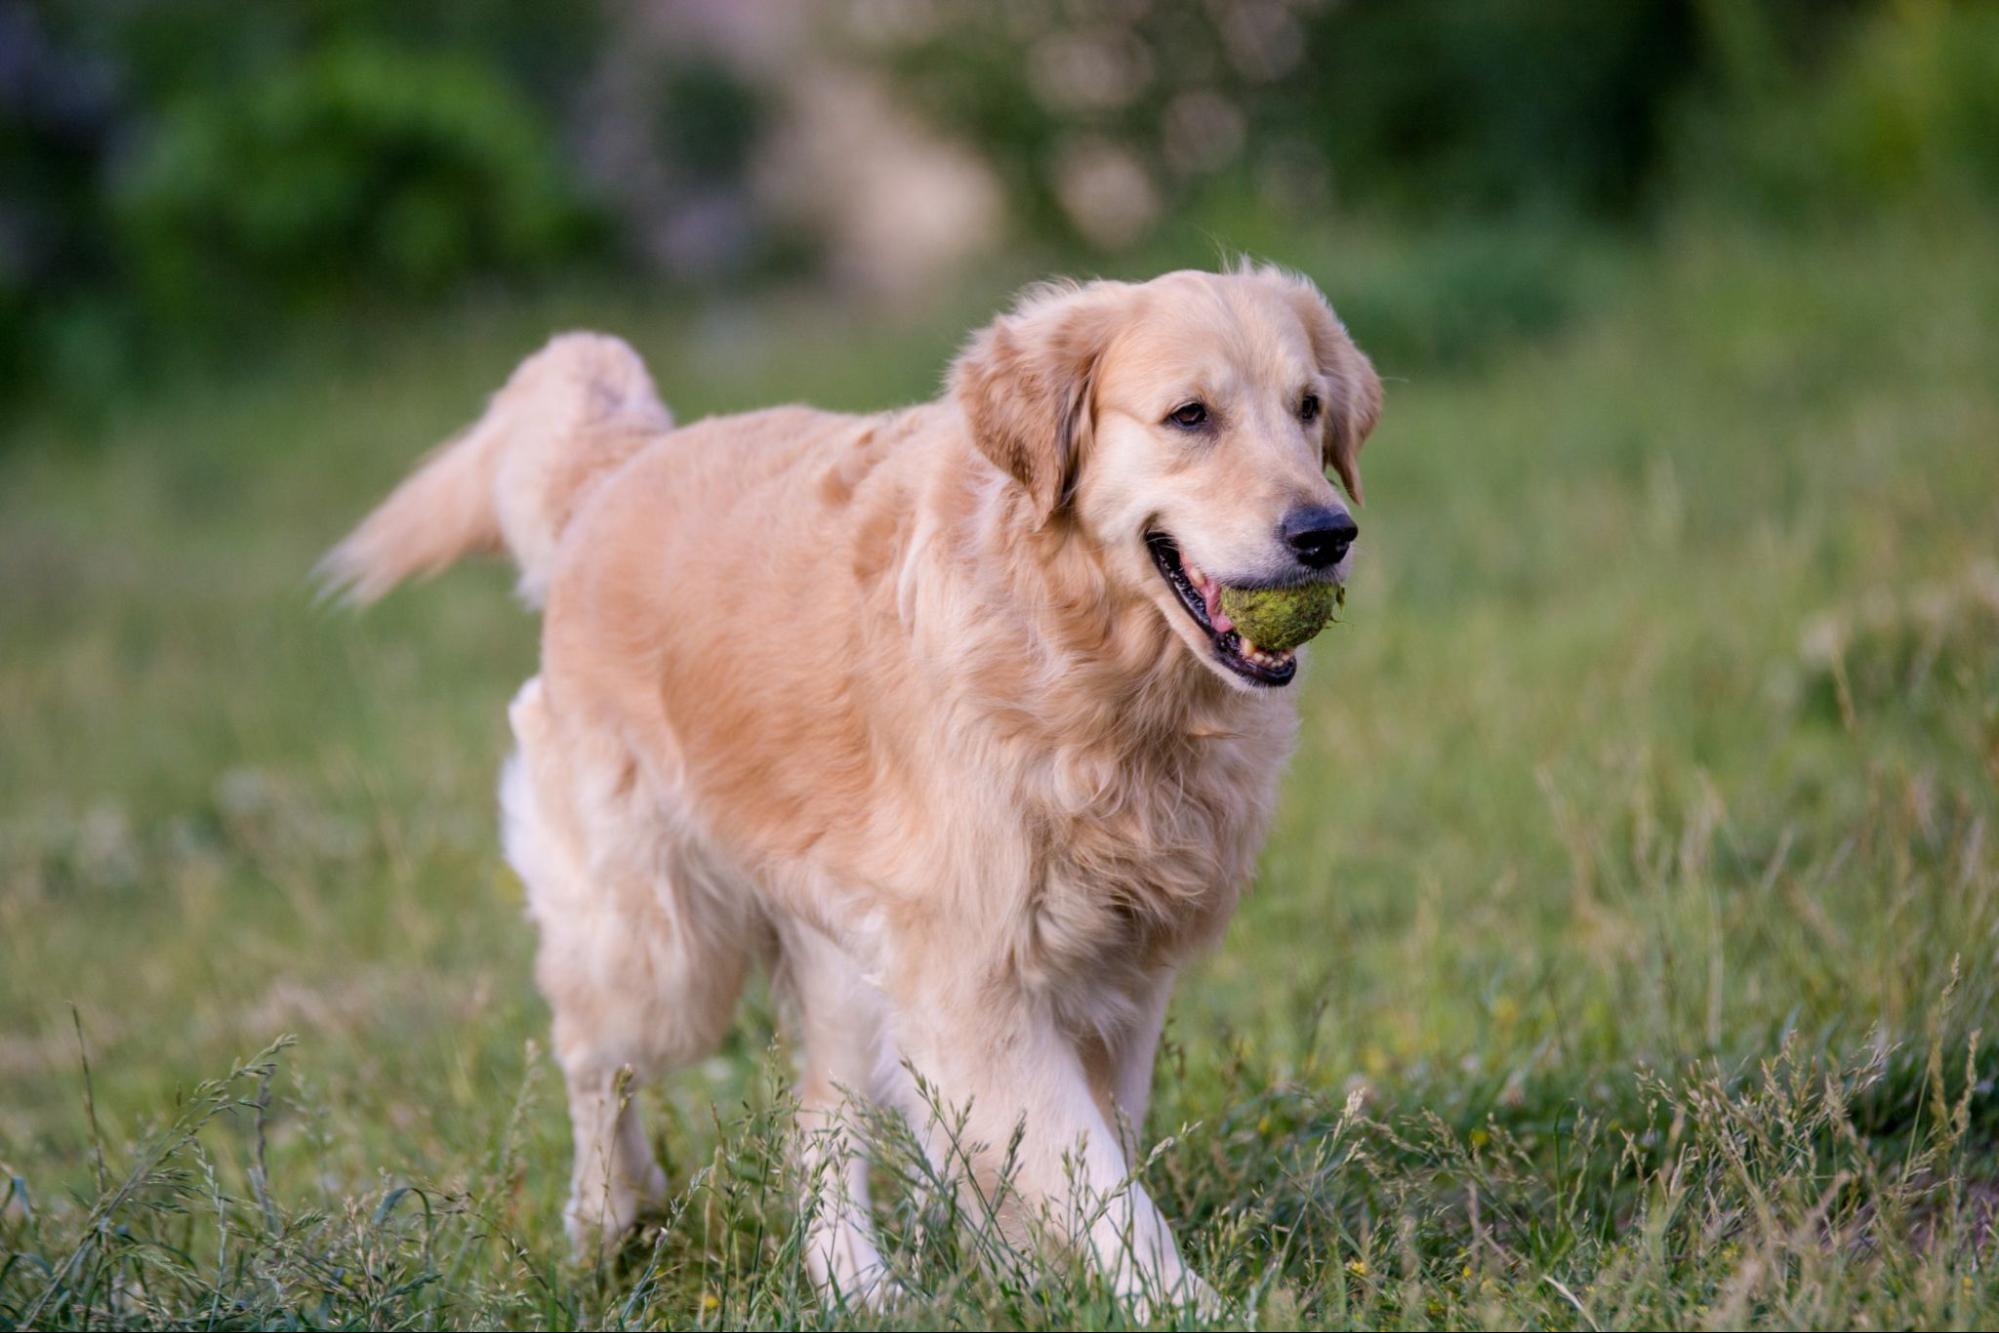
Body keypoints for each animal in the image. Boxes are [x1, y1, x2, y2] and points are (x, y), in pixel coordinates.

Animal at [323, 265, 1375, 1311]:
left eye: (1307, 408)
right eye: (1189, 415)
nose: (1327, 534)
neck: (1082, 660)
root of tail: (622, 467)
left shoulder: (1118, 976)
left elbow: (1073, 1161)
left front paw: (1022, 1273)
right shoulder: (971, 984)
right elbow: (1105, 1193)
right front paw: (1181, 1304)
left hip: (840, 960)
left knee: (814, 1123)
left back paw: (857, 1286)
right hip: (663, 951)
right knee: (595, 1058)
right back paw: (607, 1221)